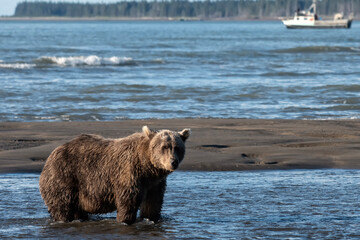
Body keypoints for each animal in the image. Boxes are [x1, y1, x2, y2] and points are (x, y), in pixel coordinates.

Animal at [38, 125, 191, 225]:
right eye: (164, 147)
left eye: (177, 147)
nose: (173, 162)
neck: (147, 166)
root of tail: (51, 156)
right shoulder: (129, 173)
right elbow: (128, 201)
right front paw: (125, 220)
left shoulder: (155, 184)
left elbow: (153, 204)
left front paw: (151, 218)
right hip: (65, 176)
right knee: (61, 206)